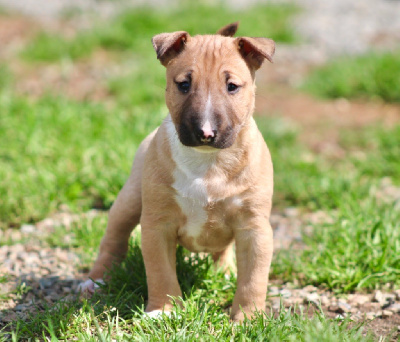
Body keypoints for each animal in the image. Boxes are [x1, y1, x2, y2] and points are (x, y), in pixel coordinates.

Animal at [80, 22, 276, 322]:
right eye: (184, 84)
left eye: (232, 86)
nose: (206, 133)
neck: (207, 162)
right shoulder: (157, 225)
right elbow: (160, 272)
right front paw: (163, 310)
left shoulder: (255, 228)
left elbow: (253, 279)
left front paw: (248, 318)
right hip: (129, 200)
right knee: (114, 239)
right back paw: (96, 281)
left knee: (223, 251)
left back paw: (225, 272)